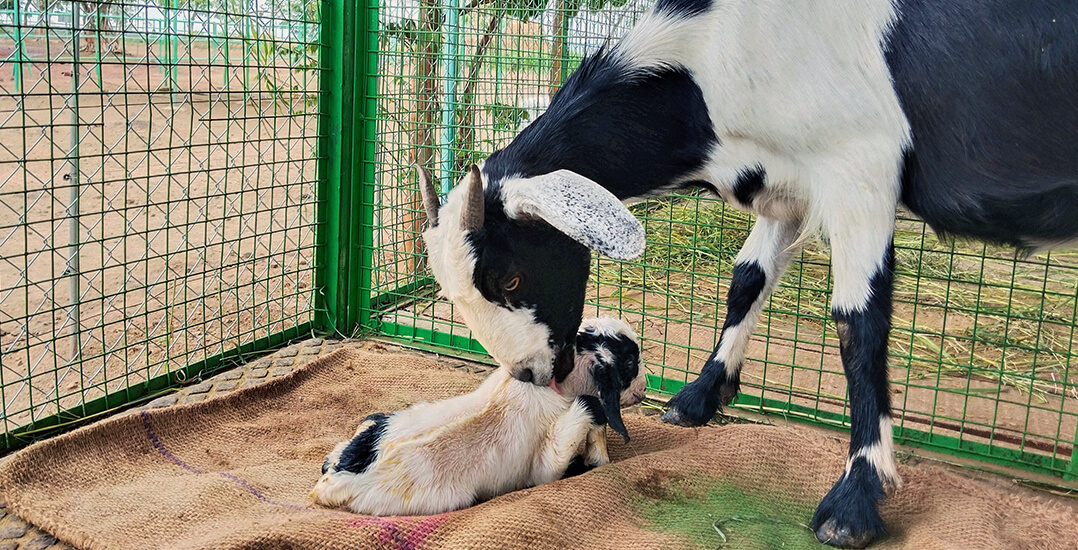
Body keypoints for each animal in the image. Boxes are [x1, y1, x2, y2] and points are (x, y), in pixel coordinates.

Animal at [312, 317, 646, 515]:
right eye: (630, 362)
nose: (643, 390)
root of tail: (333, 483)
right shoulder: (543, 466)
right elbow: (588, 411)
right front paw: (593, 459)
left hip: (377, 422)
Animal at [418, 0, 1078, 545]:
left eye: (510, 278)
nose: (530, 374)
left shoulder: (861, 168)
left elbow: (859, 323)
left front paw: (855, 499)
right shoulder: (786, 185)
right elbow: (747, 279)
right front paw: (698, 398)